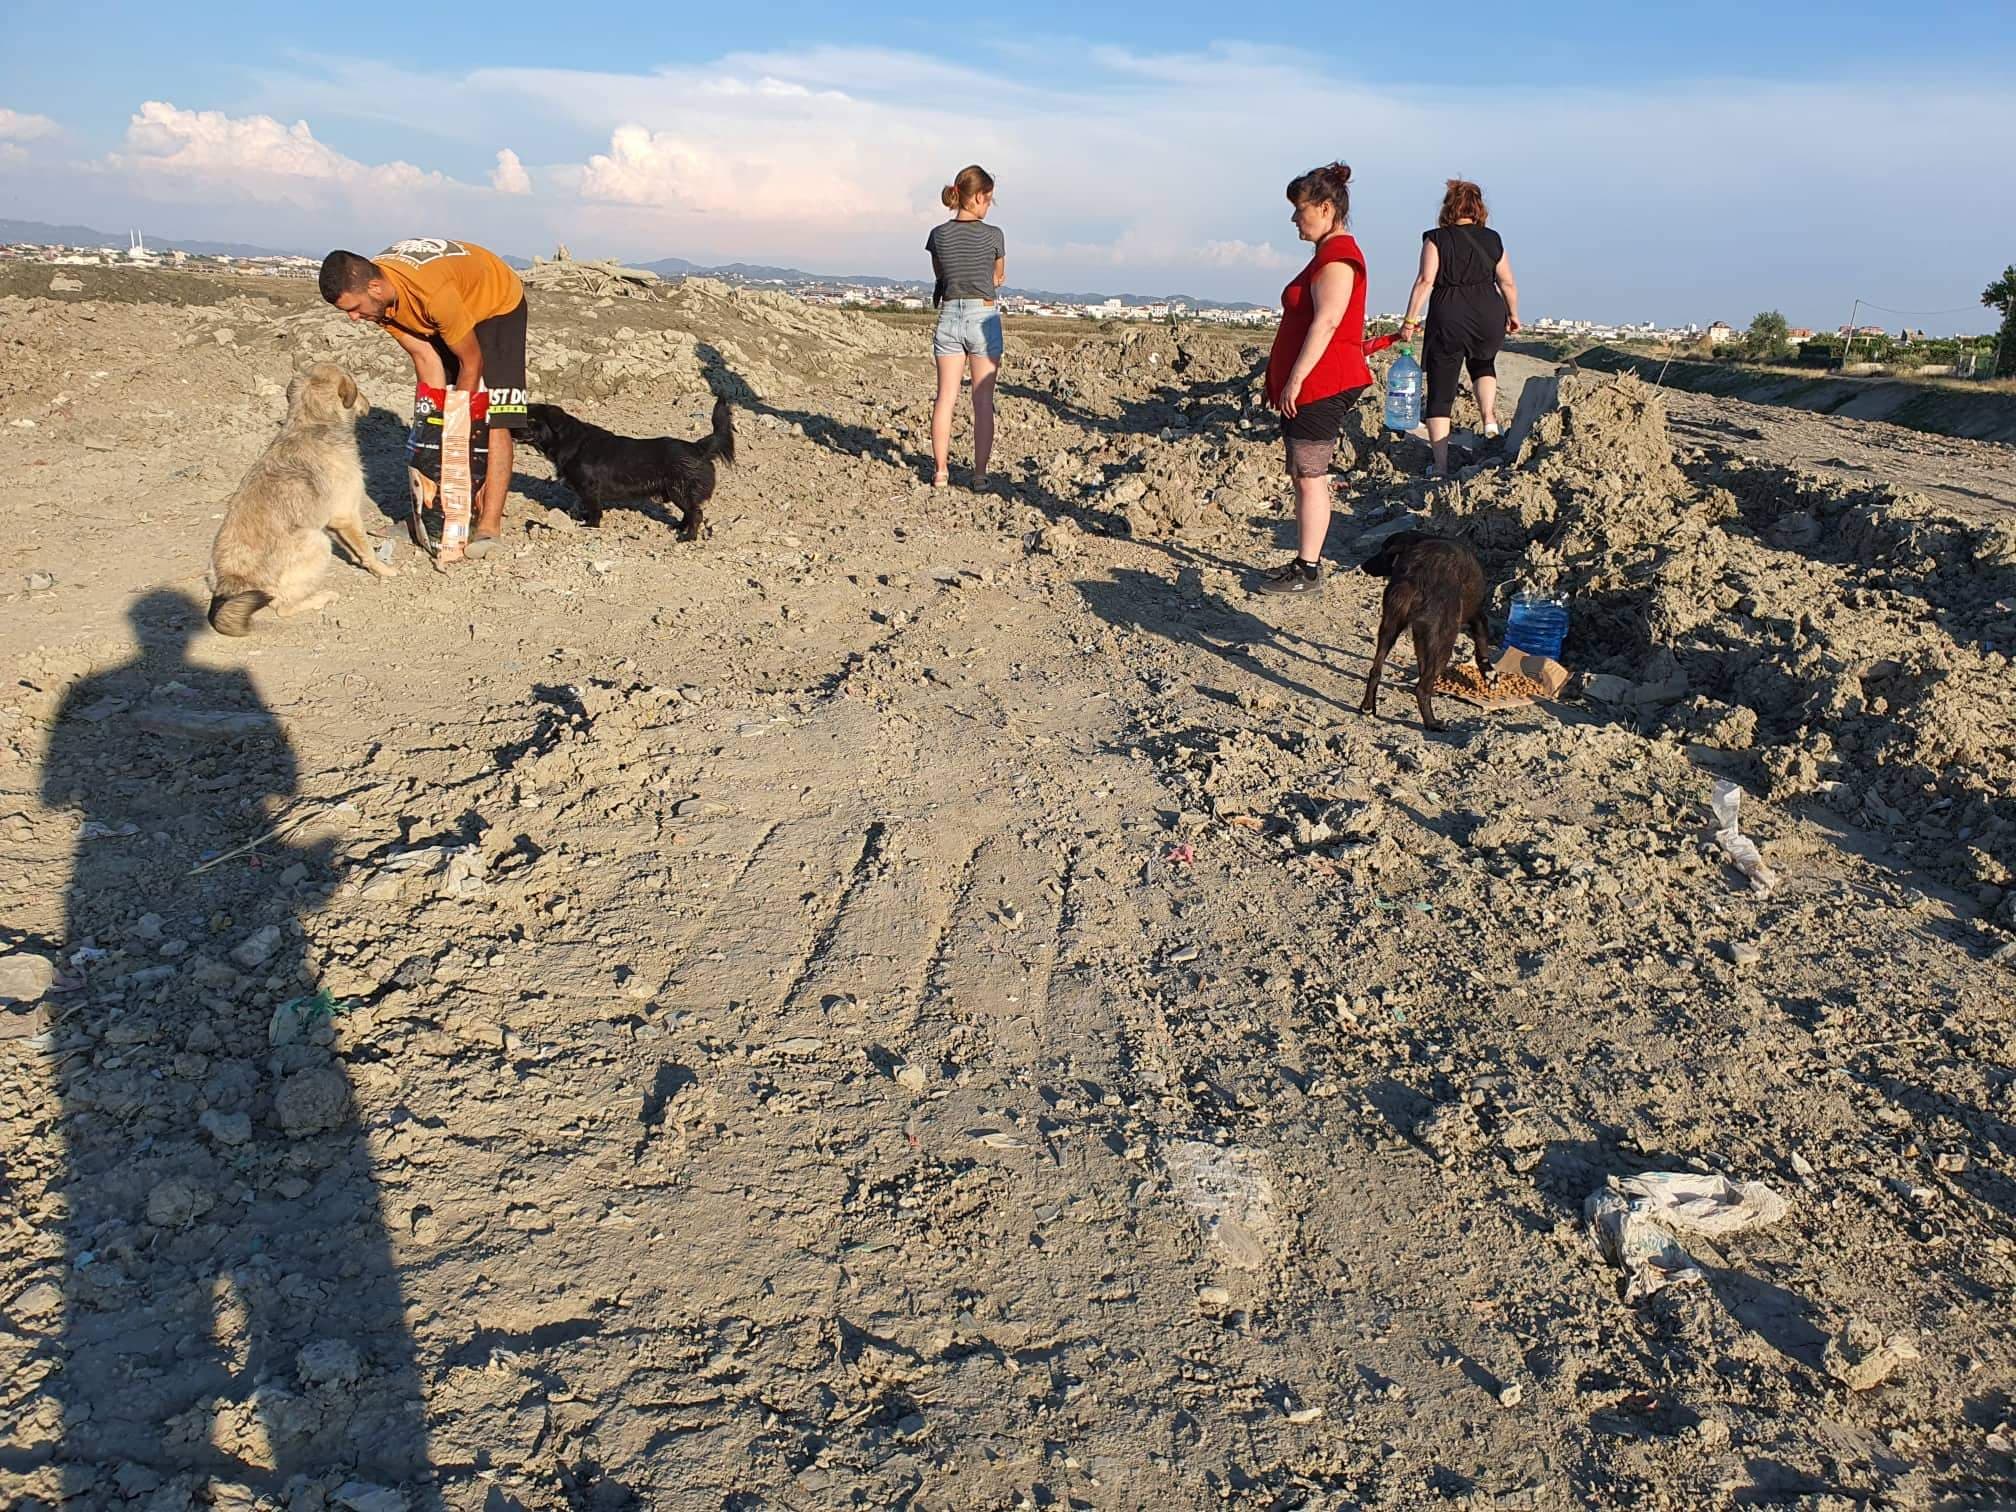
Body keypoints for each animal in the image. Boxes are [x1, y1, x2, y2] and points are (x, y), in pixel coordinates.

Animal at [208, 363, 393, 636]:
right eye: (357, 388)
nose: (369, 405)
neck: (311, 423)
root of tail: (233, 581)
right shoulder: (346, 514)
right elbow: (367, 549)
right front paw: (385, 570)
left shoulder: (334, 522)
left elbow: (355, 549)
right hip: (318, 542)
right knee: (283, 607)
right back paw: (321, 598)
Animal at [520, 397, 734, 540]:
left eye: (531, 420)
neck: (570, 441)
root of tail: (698, 447)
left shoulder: (590, 489)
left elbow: (594, 511)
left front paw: (591, 526)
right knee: (688, 513)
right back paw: (678, 527)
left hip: (679, 490)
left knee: (695, 513)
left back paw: (688, 537)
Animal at [1357, 530, 1490, 731]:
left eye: (1382, 550)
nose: (1364, 566)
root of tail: (1416, 575)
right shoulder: (1474, 614)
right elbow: (1482, 637)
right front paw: (1489, 673)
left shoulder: (1419, 636)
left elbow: (1421, 664)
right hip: (1445, 641)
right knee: (1421, 688)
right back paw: (1432, 723)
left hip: (1389, 628)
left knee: (1375, 671)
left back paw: (1367, 706)